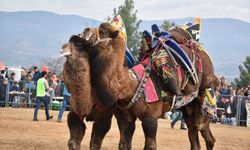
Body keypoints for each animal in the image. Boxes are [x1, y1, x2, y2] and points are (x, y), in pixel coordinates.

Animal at [81, 22, 218, 150]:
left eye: (102, 32)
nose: (85, 30)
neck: (132, 85)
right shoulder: (126, 118)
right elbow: (124, 144)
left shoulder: (150, 118)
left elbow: (150, 146)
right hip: (188, 108)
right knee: (195, 135)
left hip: (204, 91)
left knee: (204, 130)